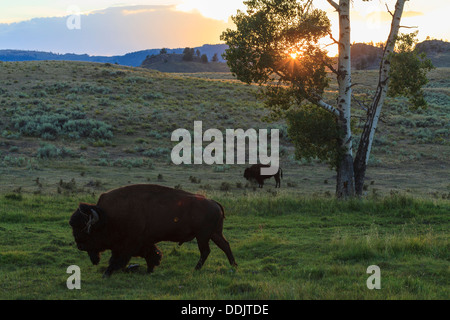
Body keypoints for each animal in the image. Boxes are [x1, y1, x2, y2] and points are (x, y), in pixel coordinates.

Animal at [68, 185, 237, 278]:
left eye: (85, 230)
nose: (79, 245)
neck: (108, 217)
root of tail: (214, 202)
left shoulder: (127, 244)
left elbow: (117, 259)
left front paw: (106, 274)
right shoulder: (144, 241)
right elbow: (152, 253)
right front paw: (150, 269)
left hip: (203, 236)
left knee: (206, 251)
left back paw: (196, 269)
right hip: (214, 233)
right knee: (225, 245)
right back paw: (233, 266)